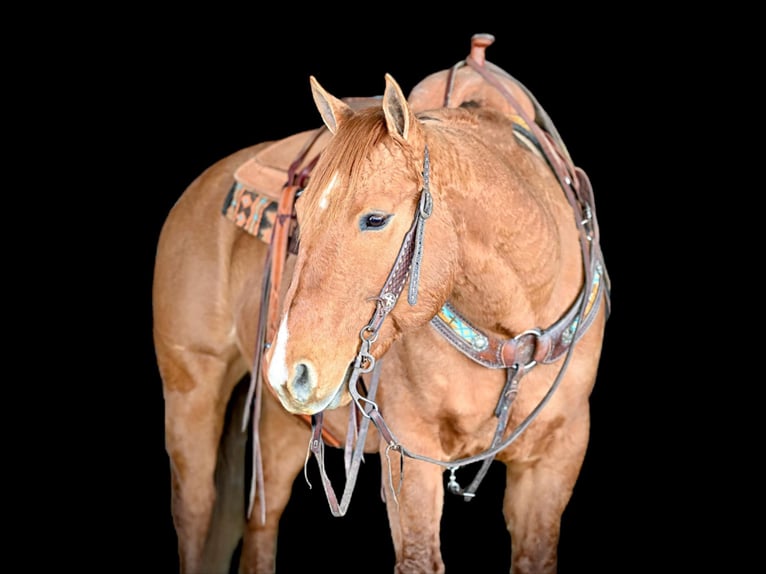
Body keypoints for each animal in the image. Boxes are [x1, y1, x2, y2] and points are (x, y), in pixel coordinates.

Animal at [154, 35, 612, 574]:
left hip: (282, 425)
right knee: (195, 514)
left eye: (375, 219)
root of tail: (199, 190)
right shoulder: (410, 456)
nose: (291, 370)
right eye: (301, 215)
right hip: (192, 393)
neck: (515, 332)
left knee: (261, 524)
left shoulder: (555, 461)